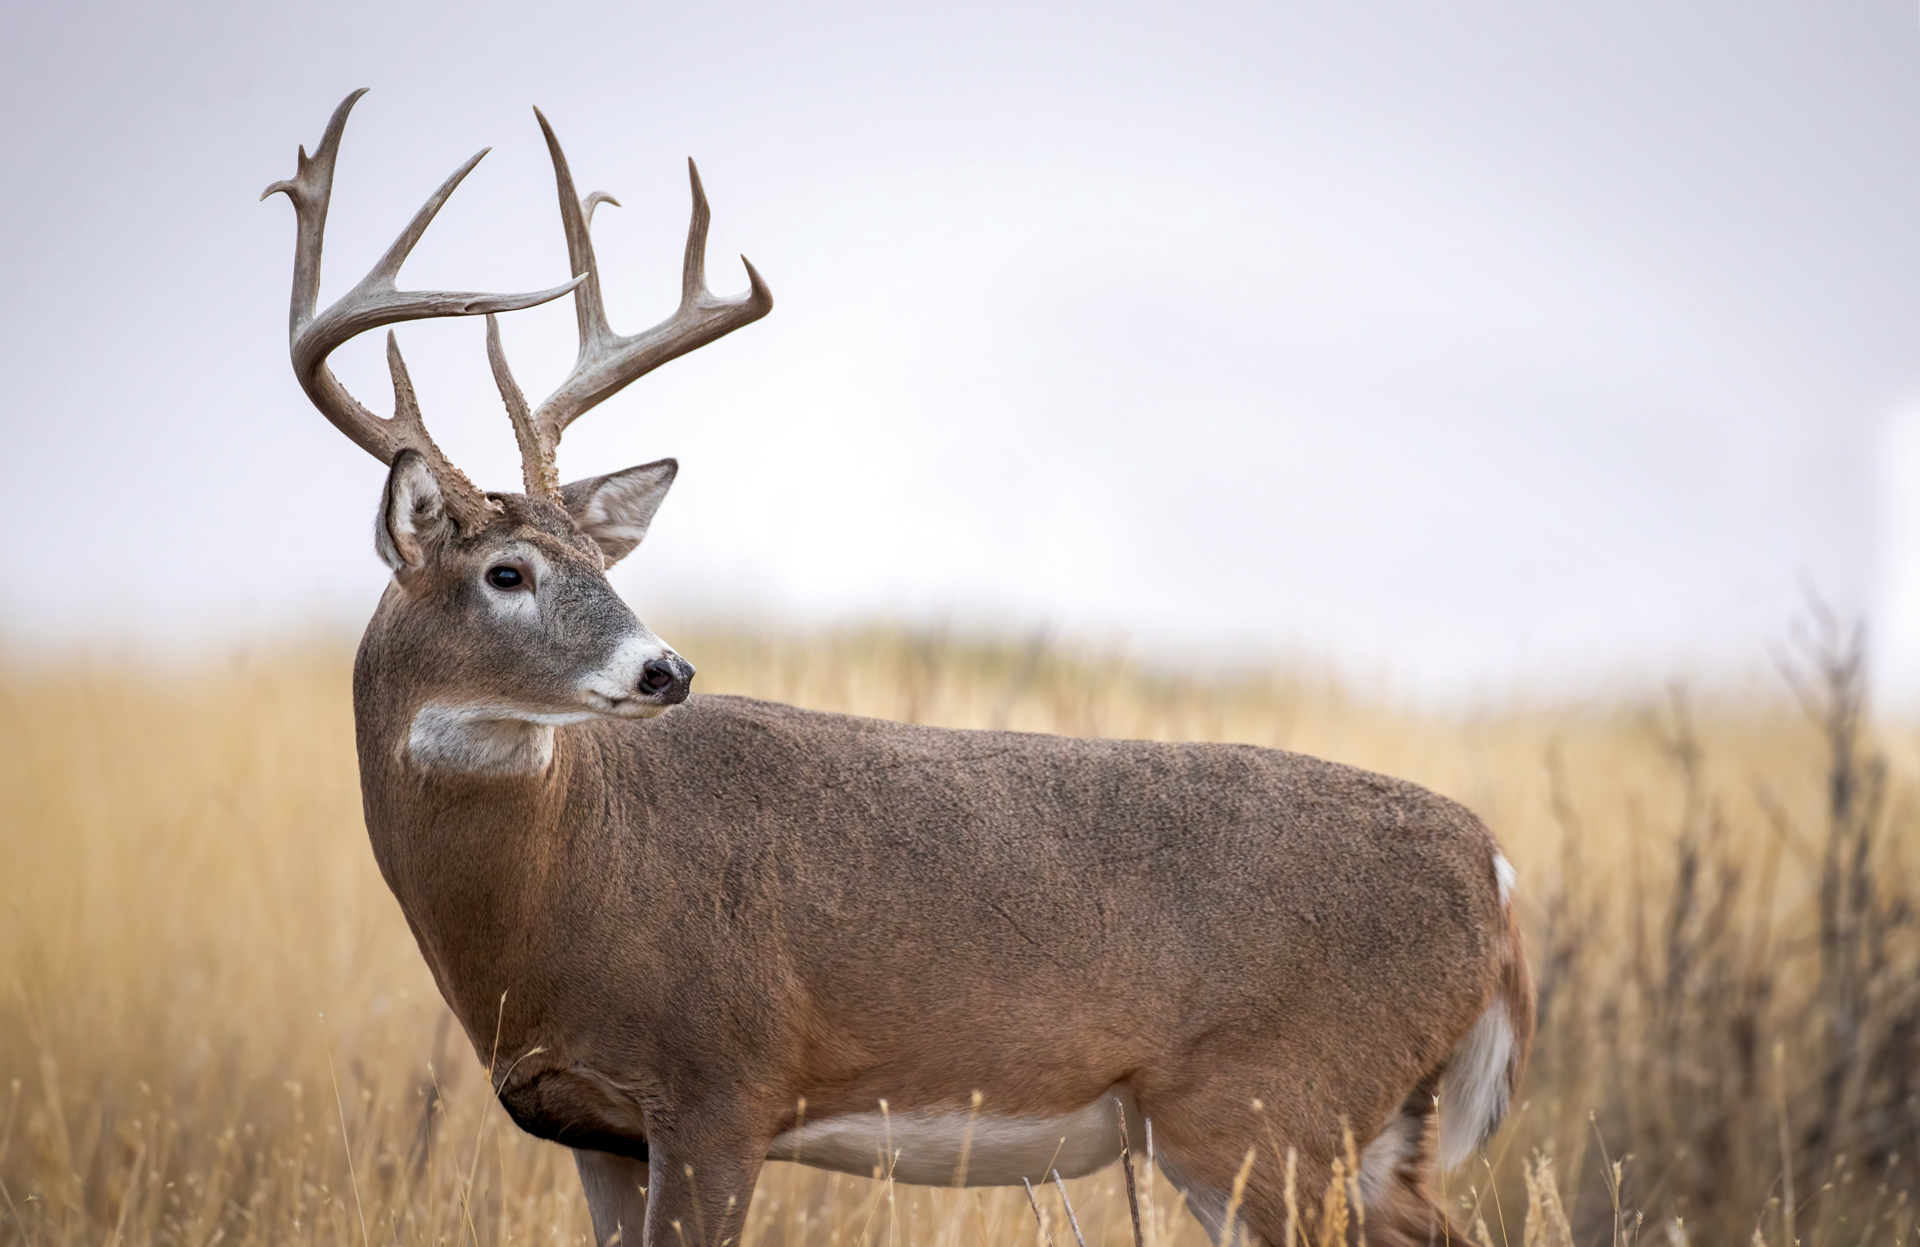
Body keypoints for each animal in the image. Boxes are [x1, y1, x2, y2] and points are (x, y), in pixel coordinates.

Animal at [265, 90, 1533, 1247]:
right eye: (509, 571)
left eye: (596, 558)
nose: (666, 670)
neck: (553, 897)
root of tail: (1499, 868)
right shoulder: (596, 1128)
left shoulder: (725, 1083)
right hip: (1353, 1127)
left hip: (1270, 1104)